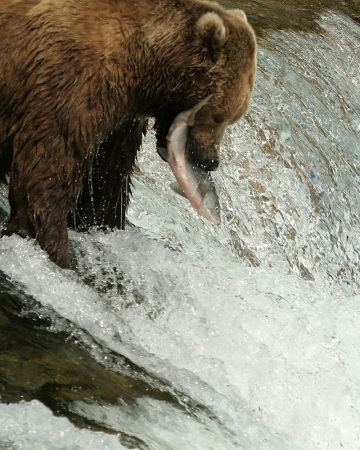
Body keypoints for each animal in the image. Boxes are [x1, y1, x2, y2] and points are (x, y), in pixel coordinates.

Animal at [0, 0, 256, 268]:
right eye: (219, 117)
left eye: (233, 118)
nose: (210, 160)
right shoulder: (68, 87)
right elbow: (48, 169)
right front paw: (54, 251)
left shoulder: (120, 122)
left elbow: (108, 178)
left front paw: (102, 223)